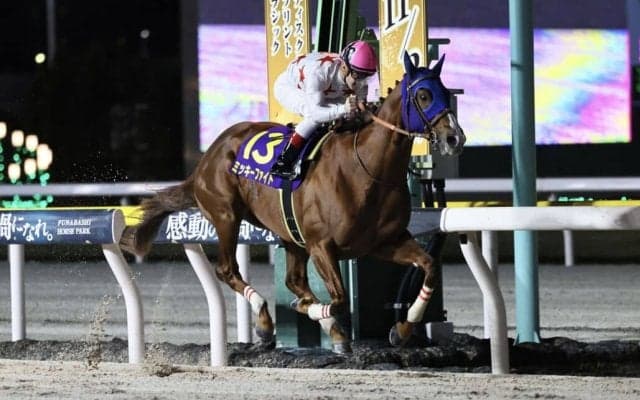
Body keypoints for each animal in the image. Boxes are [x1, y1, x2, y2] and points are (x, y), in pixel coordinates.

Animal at [121, 51, 465, 353]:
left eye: (446, 91)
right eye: (423, 95)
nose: (454, 138)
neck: (366, 169)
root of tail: (208, 157)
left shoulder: (384, 242)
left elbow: (428, 267)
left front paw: (403, 328)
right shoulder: (322, 245)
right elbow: (339, 298)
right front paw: (314, 314)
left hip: (288, 233)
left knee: (293, 280)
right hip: (226, 215)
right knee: (228, 270)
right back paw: (265, 323)